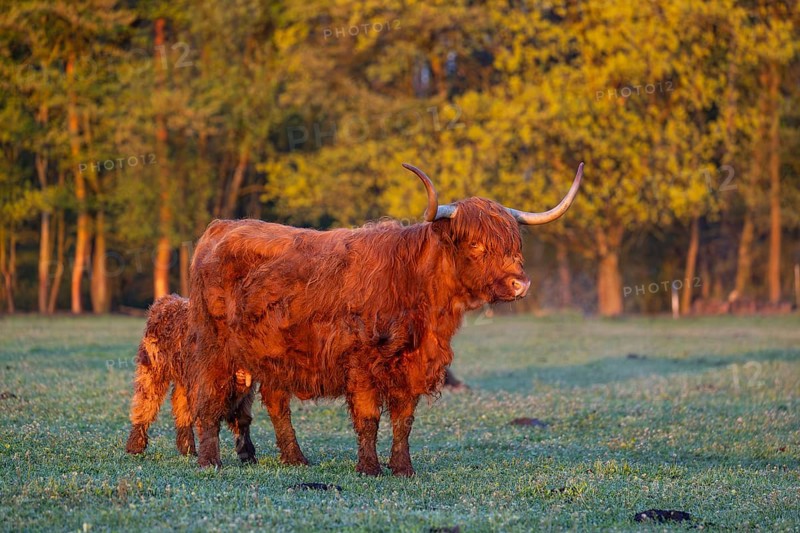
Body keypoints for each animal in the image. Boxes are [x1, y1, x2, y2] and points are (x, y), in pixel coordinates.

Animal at [186, 162, 583, 475]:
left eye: (514, 244)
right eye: (476, 245)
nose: (521, 284)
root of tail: (221, 227)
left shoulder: (413, 365)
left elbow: (404, 420)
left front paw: (403, 468)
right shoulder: (361, 362)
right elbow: (369, 417)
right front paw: (369, 468)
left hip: (273, 354)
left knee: (275, 401)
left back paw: (296, 459)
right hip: (214, 347)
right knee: (208, 399)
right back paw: (210, 461)